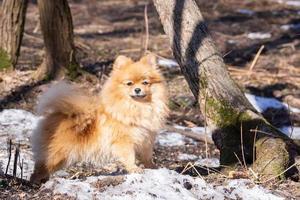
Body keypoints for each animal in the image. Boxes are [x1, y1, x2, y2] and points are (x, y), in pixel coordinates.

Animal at [30, 54, 169, 183]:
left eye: (145, 82)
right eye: (129, 83)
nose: (137, 89)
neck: (138, 107)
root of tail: (56, 114)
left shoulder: (146, 140)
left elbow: (147, 156)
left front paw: (152, 167)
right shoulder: (124, 142)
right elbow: (129, 157)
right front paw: (134, 168)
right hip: (57, 155)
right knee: (40, 168)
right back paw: (35, 182)